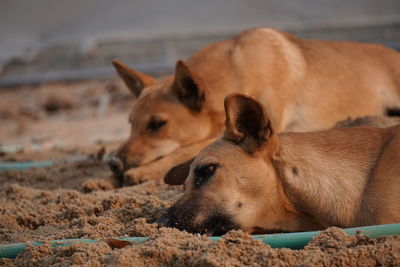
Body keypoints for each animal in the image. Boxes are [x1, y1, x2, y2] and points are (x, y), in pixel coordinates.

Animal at [108, 28, 400, 185]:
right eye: (130, 123)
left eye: (157, 125)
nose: (112, 162)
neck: (237, 71)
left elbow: (186, 149)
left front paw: (141, 172)